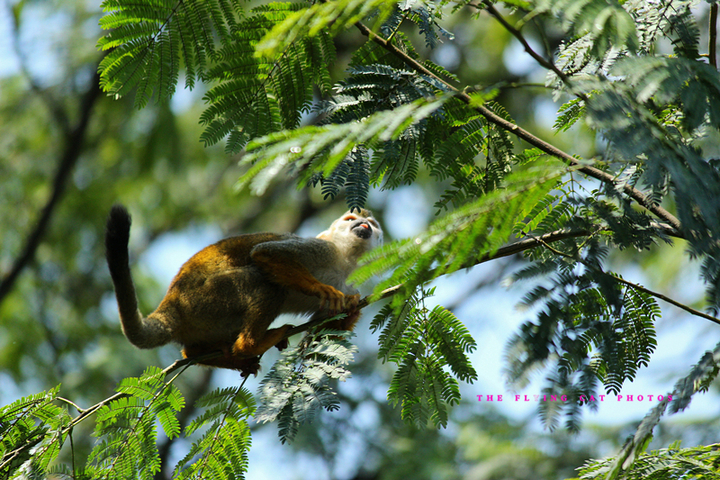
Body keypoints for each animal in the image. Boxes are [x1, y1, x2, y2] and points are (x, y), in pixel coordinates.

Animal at [105, 205, 382, 376]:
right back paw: (249, 346)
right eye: (350, 220)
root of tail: (171, 303)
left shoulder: (347, 280)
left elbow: (323, 334)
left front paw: (351, 306)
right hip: (205, 299)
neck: (344, 259)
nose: (363, 225)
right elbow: (266, 252)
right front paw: (322, 289)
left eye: (371, 223)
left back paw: (205, 354)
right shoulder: (322, 248)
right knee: (267, 283)